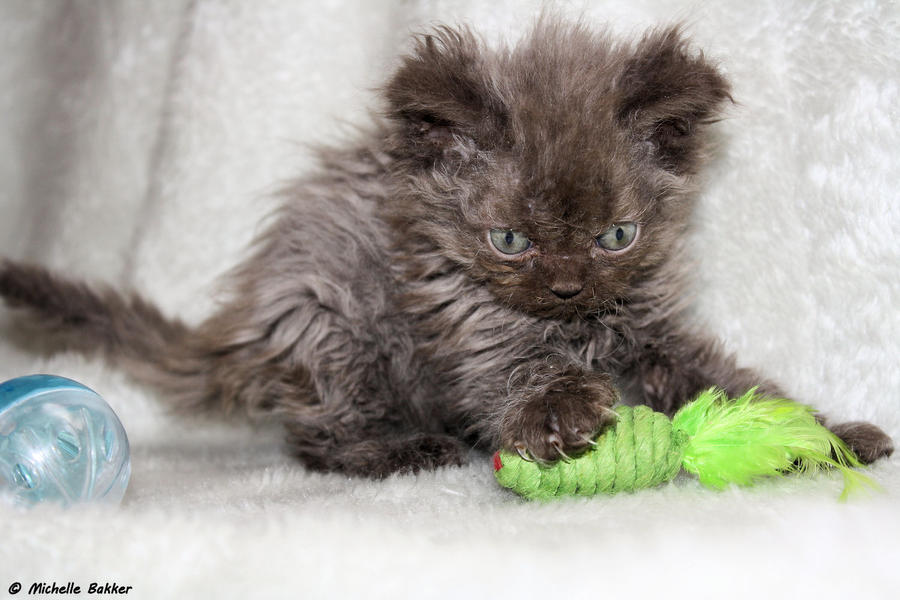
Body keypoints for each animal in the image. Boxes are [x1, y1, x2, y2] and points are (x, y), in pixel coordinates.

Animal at [0, 19, 892, 478]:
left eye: (617, 237)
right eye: (510, 240)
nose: (567, 287)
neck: (578, 329)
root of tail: (244, 332)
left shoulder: (659, 333)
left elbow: (740, 385)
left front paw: (825, 435)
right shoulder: (472, 330)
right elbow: (518, 375)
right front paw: (560, 414)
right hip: (331, 319)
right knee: (315, 435)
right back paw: (397, 449)